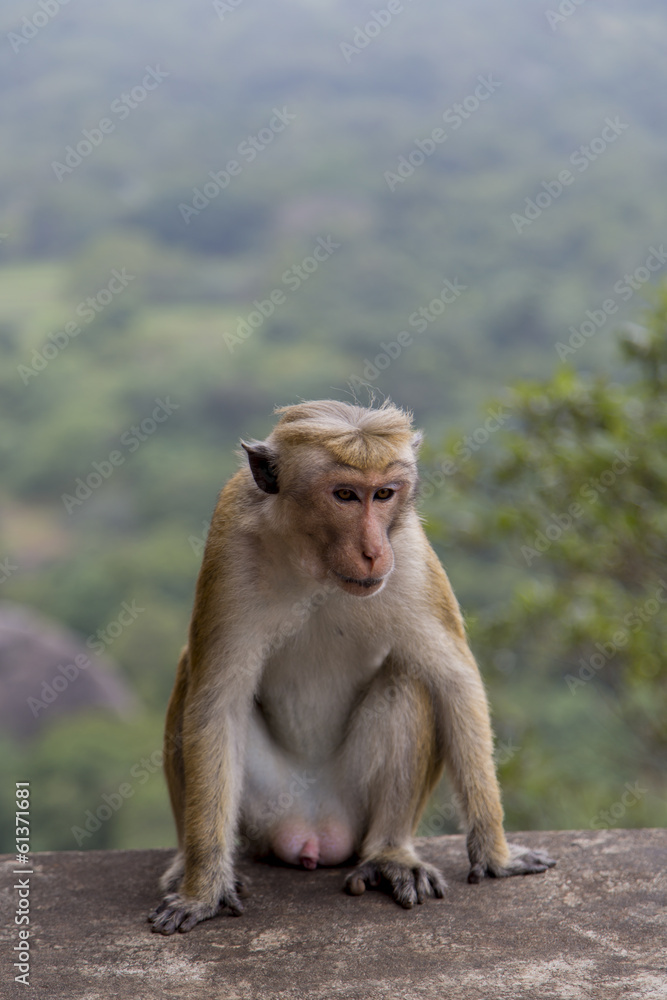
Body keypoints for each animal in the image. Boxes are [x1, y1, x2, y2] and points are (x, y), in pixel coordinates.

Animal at [149, 399, 555, 934]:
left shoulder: (409, 556)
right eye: (344, 495)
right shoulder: (229, 544)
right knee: (188, 674)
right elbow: (217, 706)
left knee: (409, 677)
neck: (317, 567)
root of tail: (314, 833)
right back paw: (189, 865)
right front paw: (203, 891)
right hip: (264, 809)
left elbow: (455, 681)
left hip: (353, 805)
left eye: (383, 494)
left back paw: (390, 856)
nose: (373, 550)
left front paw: (498, 856)